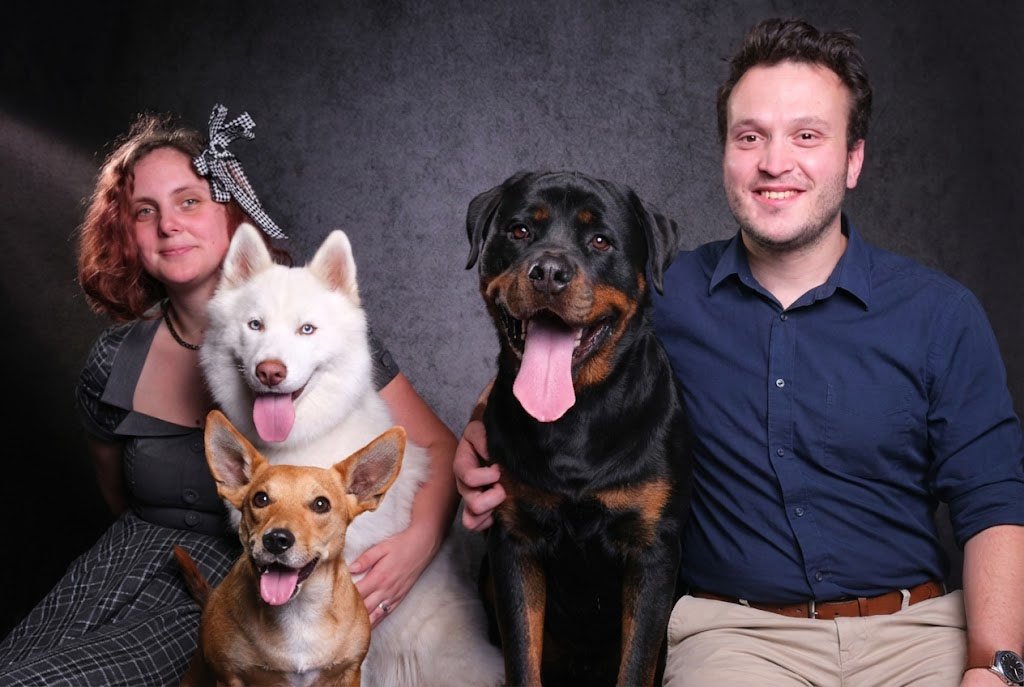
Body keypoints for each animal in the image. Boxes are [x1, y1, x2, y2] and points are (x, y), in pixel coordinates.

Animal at [176, 410, 404, 687]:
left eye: (321, 504)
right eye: (260, 499)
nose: (276, 539)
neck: (298, 614)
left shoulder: (350, 673)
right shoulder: (228, 677)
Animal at [465, 171, 691, 686]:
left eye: (601, 241)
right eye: (520, 231)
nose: (548, 272)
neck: (575, 418)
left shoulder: (653, 550)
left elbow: (636, 664)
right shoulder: (514, 541)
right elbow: (522, 657)